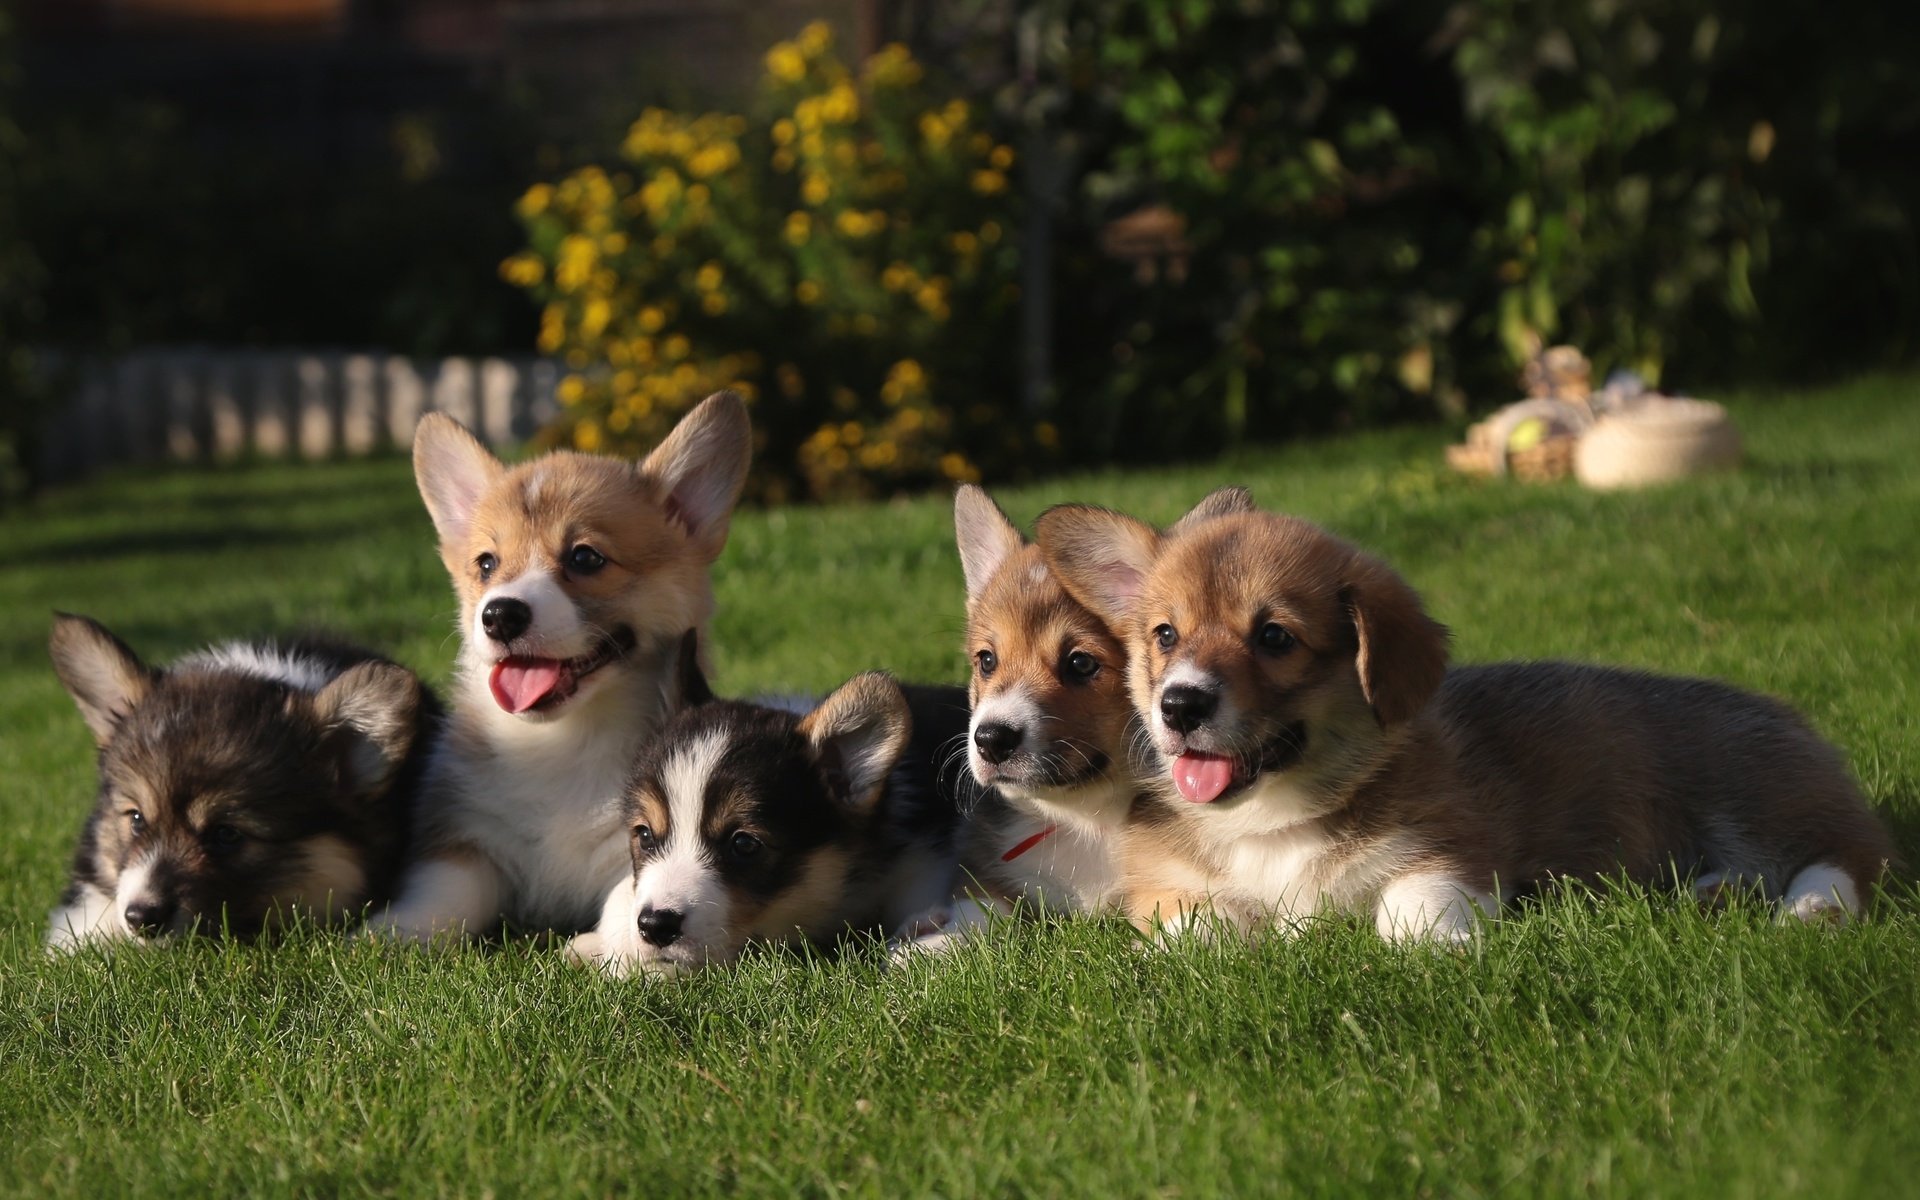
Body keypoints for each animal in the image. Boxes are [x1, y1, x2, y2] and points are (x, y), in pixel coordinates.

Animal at [366, 391, 748, 936]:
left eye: (585, 558)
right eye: (486, 564)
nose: (499, 615)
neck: (560, 743)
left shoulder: (637, 845)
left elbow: (627, 902)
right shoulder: (470, 836)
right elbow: (442, 889)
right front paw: (387, 932)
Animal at [1029, 495, 1896, 936]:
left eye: (1274, 637)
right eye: (1164, 636)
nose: (1179, 705)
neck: (1274, 820)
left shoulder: (1447, 851)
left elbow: (1410, 924)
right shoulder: (1170, 889)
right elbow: (1204, 934)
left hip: (1758, 794)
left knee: (1852, 857)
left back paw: (1807, 911)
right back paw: (1710, 893)